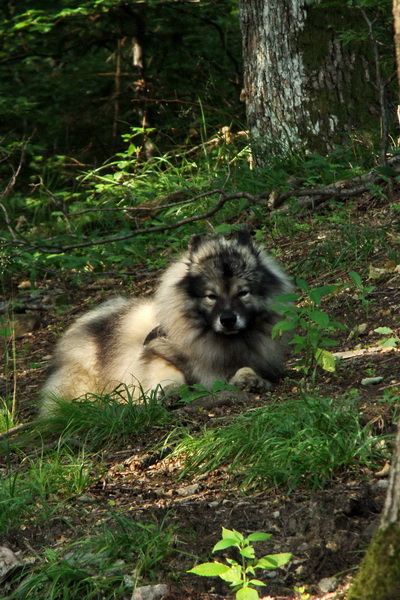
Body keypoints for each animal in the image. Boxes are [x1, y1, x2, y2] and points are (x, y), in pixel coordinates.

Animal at [39, 231, 290, 418]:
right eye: (211, 296)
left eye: (243, 293)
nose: (228, 320)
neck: (215, 340)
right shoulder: (156, 352)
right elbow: (168, 373)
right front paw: (169, 391)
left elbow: (246, 368)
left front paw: (249, 379)